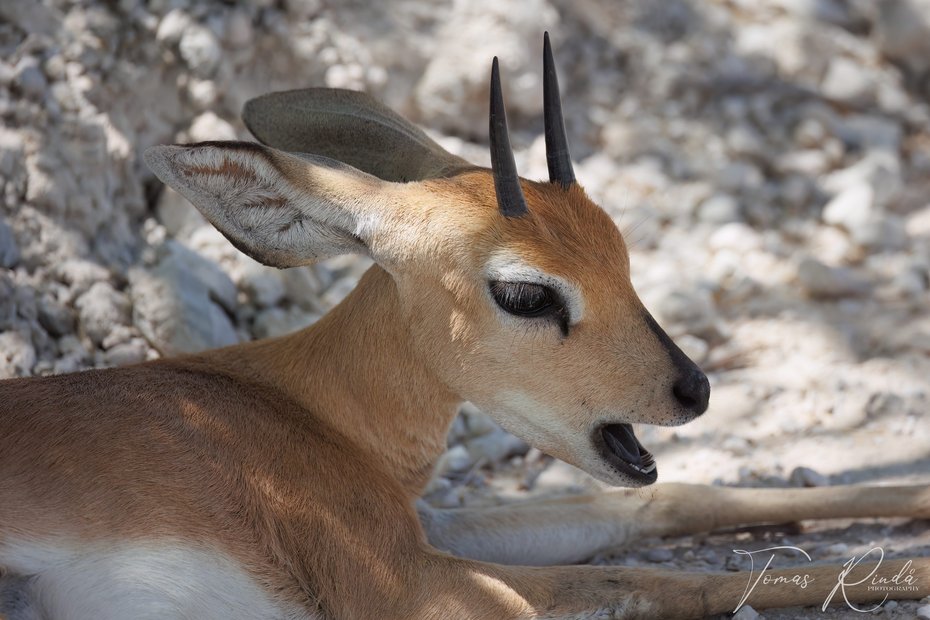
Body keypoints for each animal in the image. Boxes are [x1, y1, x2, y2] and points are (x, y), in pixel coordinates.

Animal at [1, 36, 928, 616]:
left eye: (619, 248)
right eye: (525, 293)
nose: (691, 390)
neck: (299, 408)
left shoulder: (426, 525)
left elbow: (665, 503)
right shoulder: (410, 585)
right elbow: (652, 581)